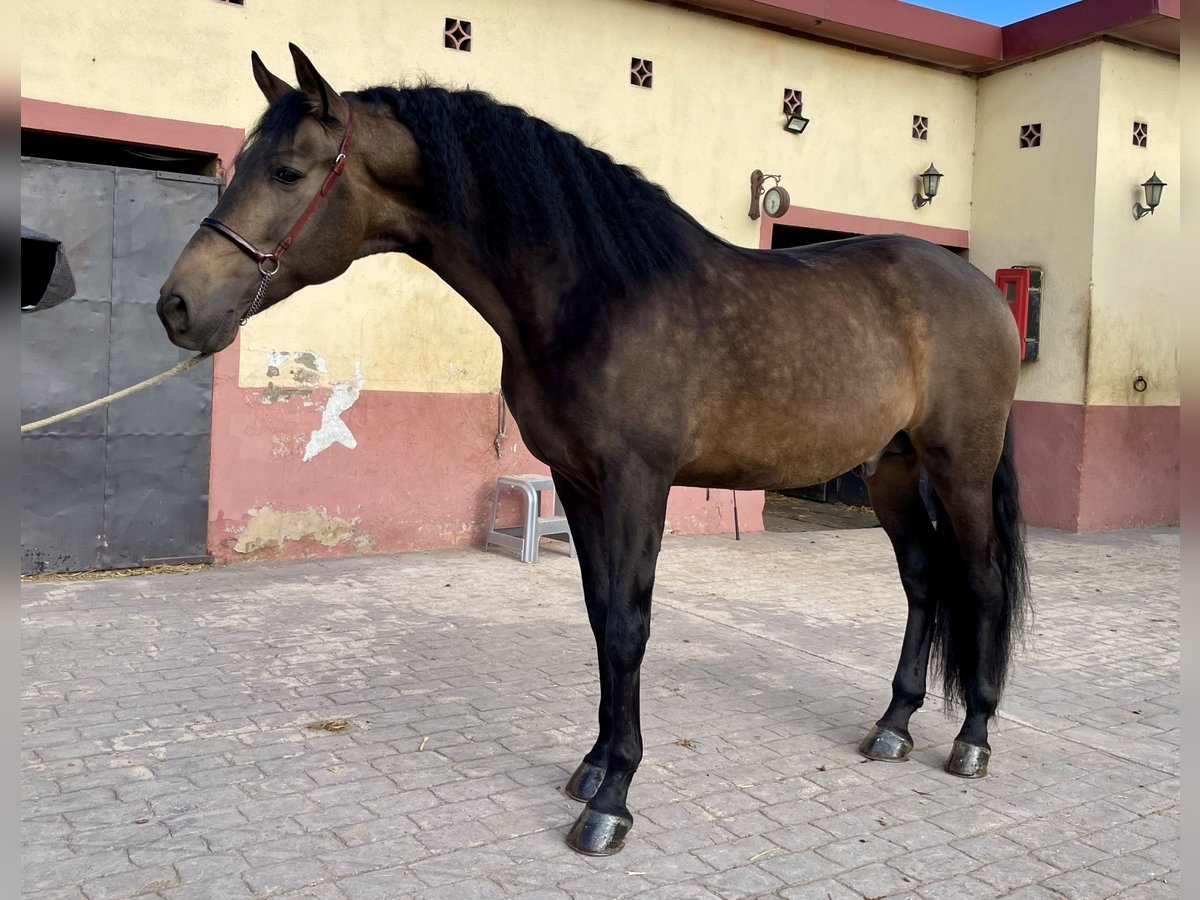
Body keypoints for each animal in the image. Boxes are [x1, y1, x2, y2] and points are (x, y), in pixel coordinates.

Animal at [159, 44, 1032, 859]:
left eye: (287, 170)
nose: (177, 306)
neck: (594, 296)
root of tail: (983, 291)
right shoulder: (576, 483)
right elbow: (598, 614)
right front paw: (594, 764)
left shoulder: (639, 483)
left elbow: (628, 627)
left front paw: (612, 802)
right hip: (893, 471)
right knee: (922, 582)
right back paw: (894, 724)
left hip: (958, 466)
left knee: (981, 583)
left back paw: (972, 739)